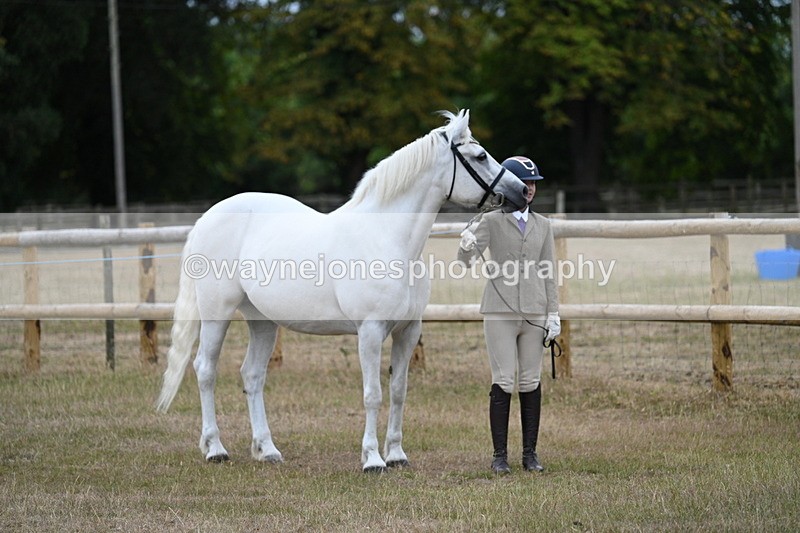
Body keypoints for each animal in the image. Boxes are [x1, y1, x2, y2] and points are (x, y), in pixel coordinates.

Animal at [156, 109, 528, 472]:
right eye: (480, 156)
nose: (522, 191)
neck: (390, 240)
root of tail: (207, 218)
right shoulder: (370, 331)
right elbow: (372, 394)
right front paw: (373, 459)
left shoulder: (408, 331)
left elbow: (398, 391)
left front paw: (397, 455)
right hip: (216, 313)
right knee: (205, 370)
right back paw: (215, 449)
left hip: (262, 321)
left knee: (252, 375)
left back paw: (267, 450)